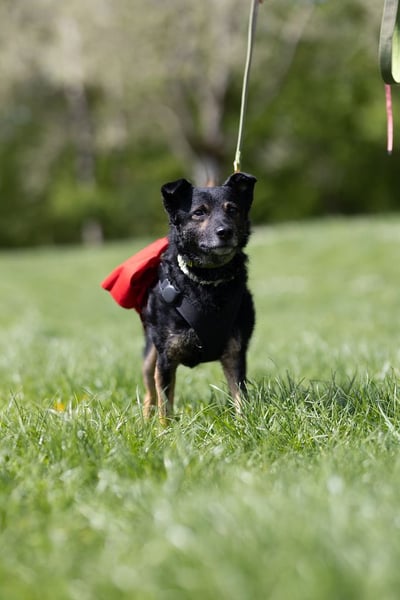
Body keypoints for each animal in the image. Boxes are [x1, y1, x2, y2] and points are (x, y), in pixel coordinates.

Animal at [140, 172, 257, 422]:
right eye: (199, 213)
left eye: (232, 209)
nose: (225, 232)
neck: (207, 281)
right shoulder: (166, 358)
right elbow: (165, 406)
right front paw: (165, 431)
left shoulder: (235, 354)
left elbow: (240, 398)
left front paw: (245, 425)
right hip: (149, 355)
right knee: (149, 394)